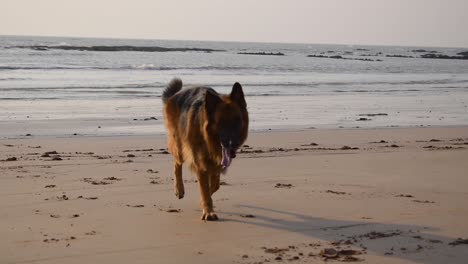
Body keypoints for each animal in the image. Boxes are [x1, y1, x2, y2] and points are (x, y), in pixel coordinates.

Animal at [162, 78, 249, 221]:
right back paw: (179, 189)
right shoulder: (201, 164)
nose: (232, 145)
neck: (208, 139)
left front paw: (204, 202)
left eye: (237, 120)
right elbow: (205, 189)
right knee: (177, 164)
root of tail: (175, 94)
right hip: (179, 146)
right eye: (221, 122)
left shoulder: (216, 163)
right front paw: (208, 211)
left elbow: (214, 185)